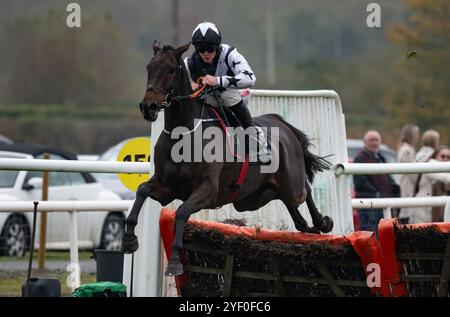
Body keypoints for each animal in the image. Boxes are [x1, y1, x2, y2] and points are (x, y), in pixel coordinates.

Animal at [121, 41, 332, 274]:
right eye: (149, 67)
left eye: (170, 70)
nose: (147, 107)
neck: (183, 135)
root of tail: (283, 124)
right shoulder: (165, 187)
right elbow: (142, 191)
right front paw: (129, 240)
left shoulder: (207, 190)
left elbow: (182, 212)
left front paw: (175, 260)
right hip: (252, 198)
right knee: (289, 204)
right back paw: (308, 227)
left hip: (289, 185)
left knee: (305, 190)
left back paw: (322, 222)